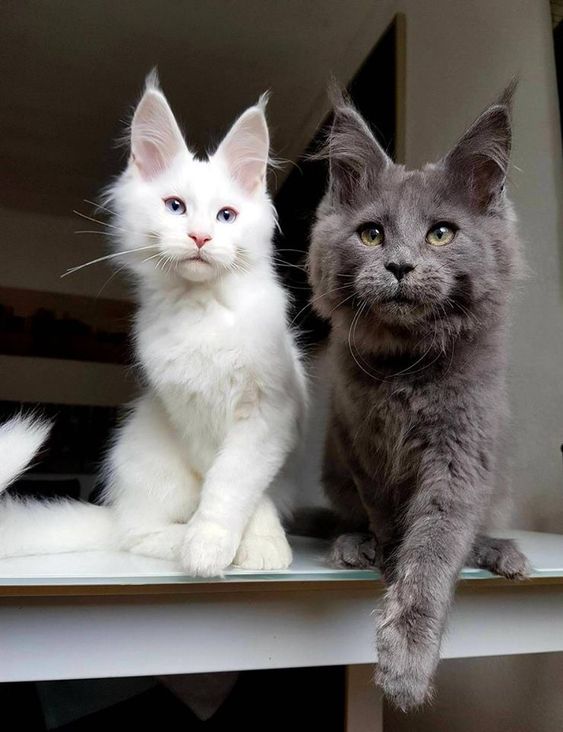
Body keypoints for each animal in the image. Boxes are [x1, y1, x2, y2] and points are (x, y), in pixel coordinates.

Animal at [0, 76, 306, 576]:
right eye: (175, 207)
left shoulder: (268, 417)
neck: (201, 312)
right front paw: (209, 548)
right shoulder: (193, 420)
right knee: (135, 534)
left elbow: (239, 486)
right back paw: (179, 540)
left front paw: (256, 545)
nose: (200, 236)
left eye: (226, 216)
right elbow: (225, 488)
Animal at [306, 86, 532, 708]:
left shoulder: (462, 456)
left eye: (441, 234)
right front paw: (385, 560)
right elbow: (390, 519)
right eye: (371, 234)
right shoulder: (364, 446)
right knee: (346, 517)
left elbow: (433, 548)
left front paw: (406, 664)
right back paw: (352, 544)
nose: (400, 266)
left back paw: (497, 552)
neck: (407, 366)